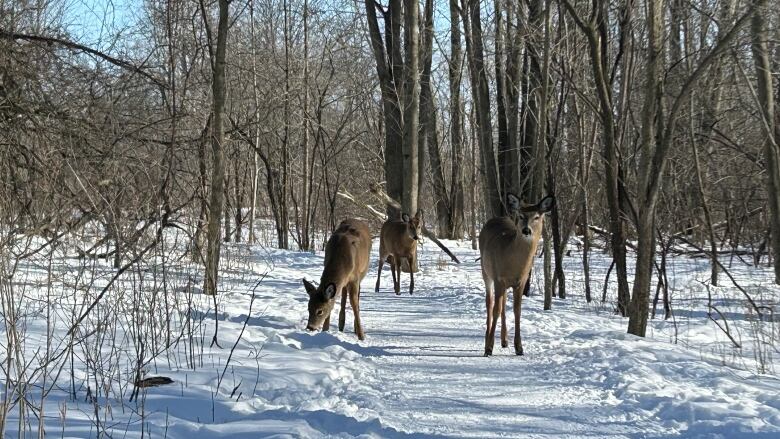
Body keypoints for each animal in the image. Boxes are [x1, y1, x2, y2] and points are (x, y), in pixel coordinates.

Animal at [476, 194, 556, 356]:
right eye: (521, 216)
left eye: (537, 216)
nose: (526, 230)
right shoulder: (499, 278)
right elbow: (495, 309)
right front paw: (489, 348)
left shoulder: (521, 281)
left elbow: (517, 311)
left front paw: (519, 347)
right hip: (486, 271)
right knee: (490, 303)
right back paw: (487, 339)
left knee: (503, 304)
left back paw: (504, 340)